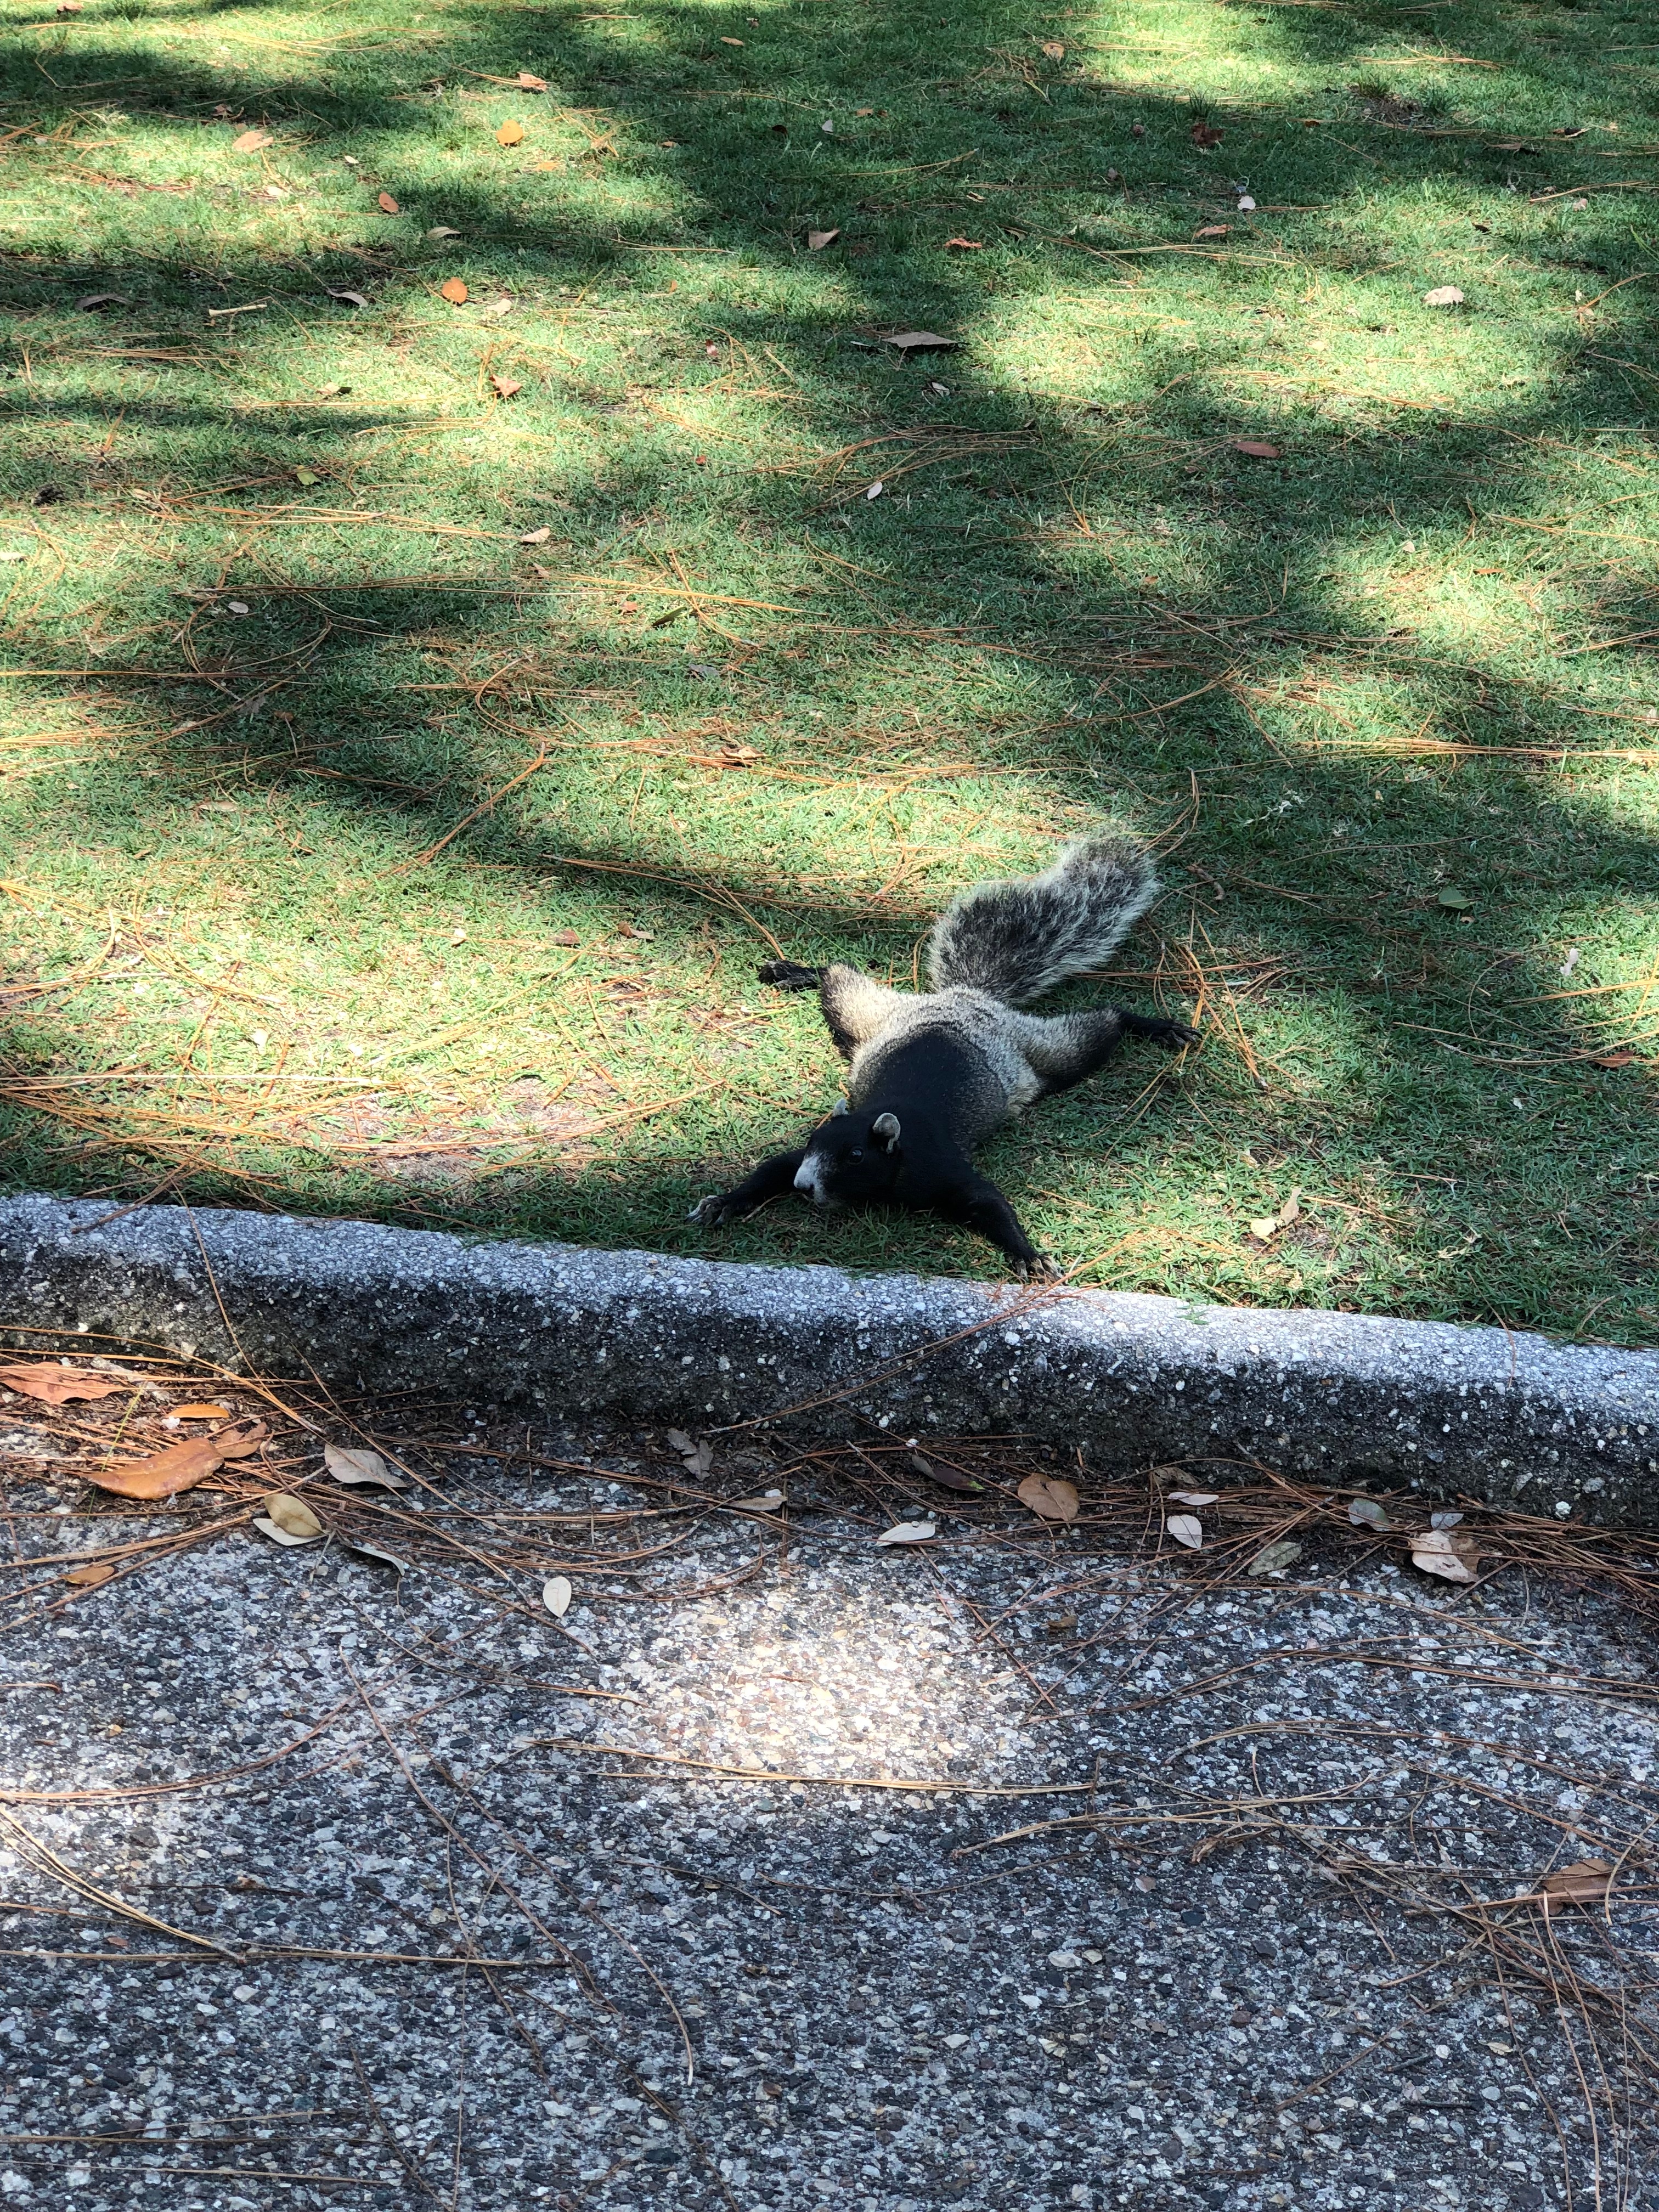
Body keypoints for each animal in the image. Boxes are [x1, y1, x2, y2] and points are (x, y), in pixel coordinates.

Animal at [688, 831, 1198, 1278]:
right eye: (814, 1141)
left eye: (856, 1155)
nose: (805, 1185)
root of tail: (968, 998)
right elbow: (772, 1168)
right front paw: (724, 1201)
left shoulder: (943, 1165)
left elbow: (987, 1201)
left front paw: (1029, 1255)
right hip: (866, 1013)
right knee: (836, 976)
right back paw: (792, 971)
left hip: (1046, 1052)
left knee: (1100, 1027)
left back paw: (1154, 1027)